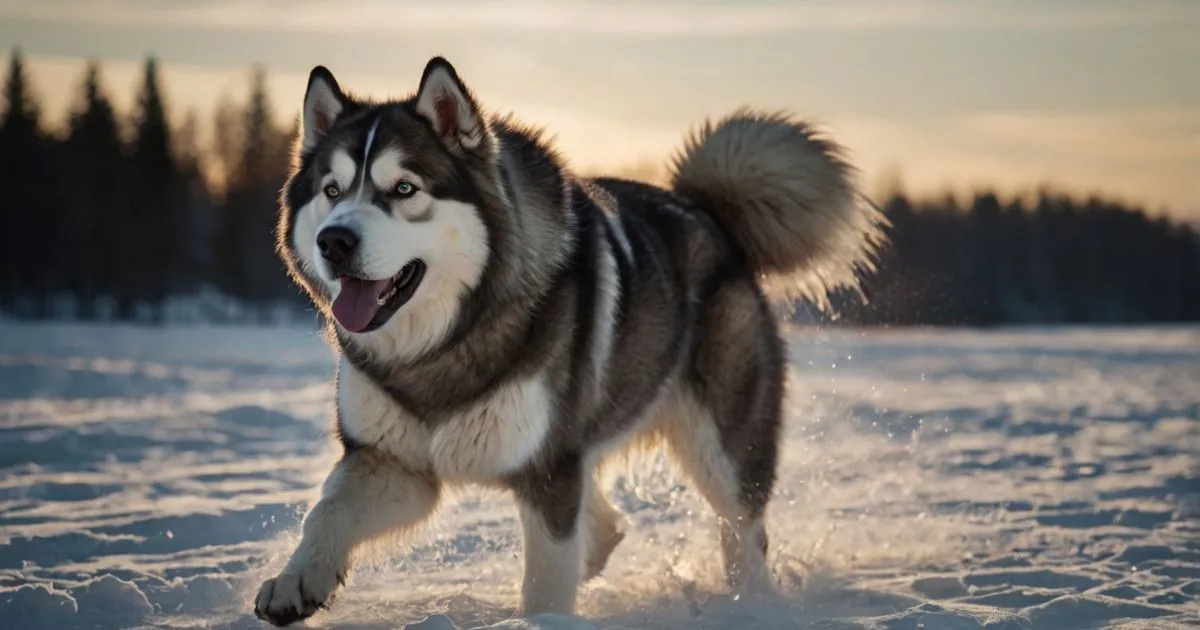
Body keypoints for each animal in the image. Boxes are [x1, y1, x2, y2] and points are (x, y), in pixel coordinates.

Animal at [253, 57, 888, 624]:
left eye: (404, 188)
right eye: (332, 190)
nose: (335, 242)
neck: (444, 346)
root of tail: (707, 214)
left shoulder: (549, 472)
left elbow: (546, 583)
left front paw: (542, 618)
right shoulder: (393, 462)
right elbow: (325, 512)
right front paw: (296, 581)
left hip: (721, 444)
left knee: (741, 532)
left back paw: (749, 605)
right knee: (607, 523)